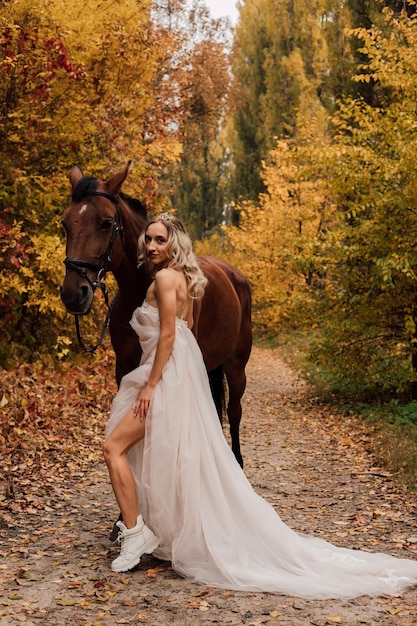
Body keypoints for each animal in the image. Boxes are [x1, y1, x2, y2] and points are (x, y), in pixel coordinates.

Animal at [60, 163, 252, 466]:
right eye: (65, 223)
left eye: (106, 223)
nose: (72, 293)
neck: (140, 292)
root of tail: (235, 275)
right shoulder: (124, 367)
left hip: (236, 367)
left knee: (234, 412)